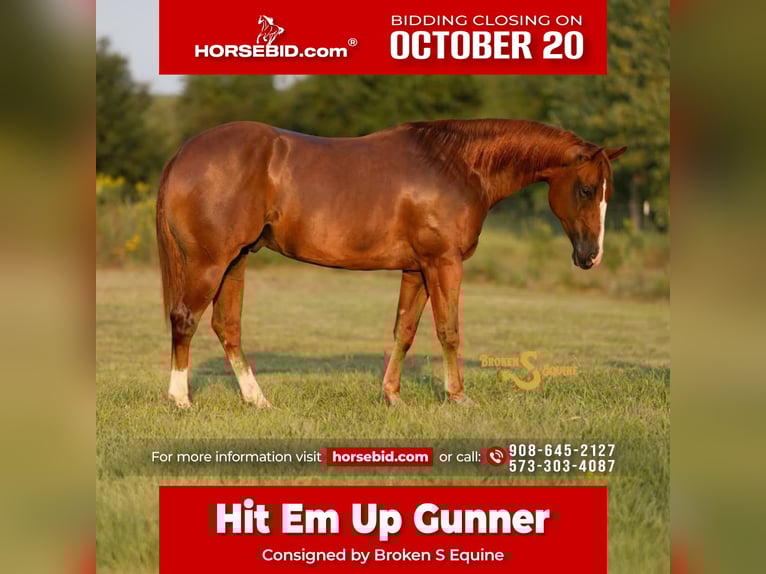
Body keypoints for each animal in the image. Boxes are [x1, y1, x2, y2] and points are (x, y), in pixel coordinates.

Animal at [156, 119, 626, 409]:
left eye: (608, 192)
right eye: (586, 189)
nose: (591, 256)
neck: (457, 165)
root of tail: (183, 153)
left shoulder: (417, 269)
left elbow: (405, 331)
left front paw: (392, 396)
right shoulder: (443, 263)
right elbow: (449, 331)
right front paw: (458, 397)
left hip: (235, 262)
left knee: (227, 327)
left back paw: (257, 400)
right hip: (209, 262)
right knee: (184, 319)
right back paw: (180, 399)